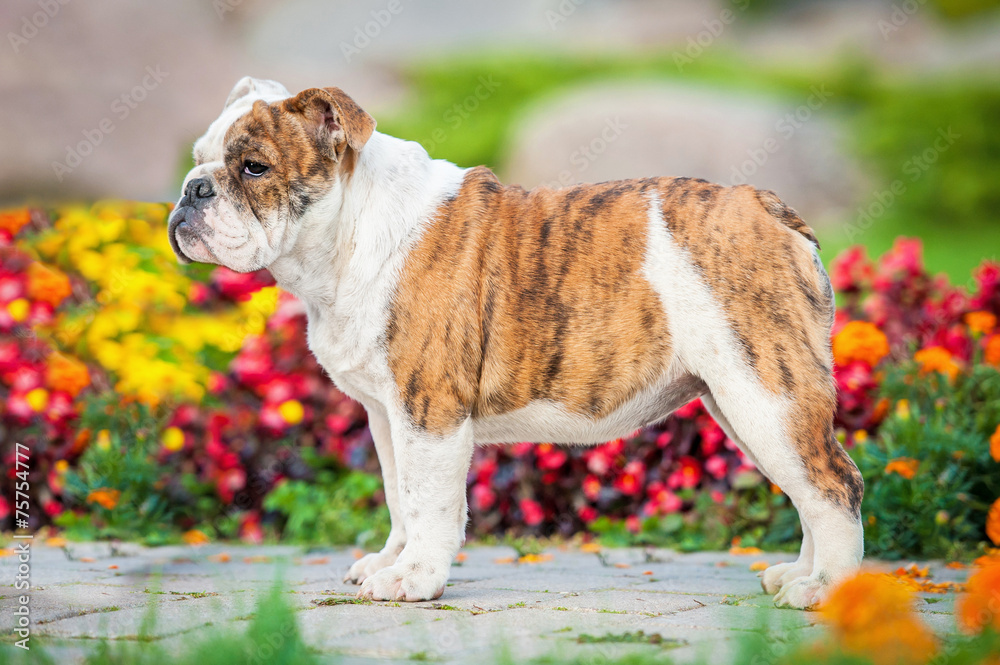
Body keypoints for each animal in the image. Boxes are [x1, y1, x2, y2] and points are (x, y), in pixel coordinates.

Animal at [168, 76, 864, 608]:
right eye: (198, 156)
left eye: (254, 167)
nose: (192, 189)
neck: (348, 233)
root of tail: (765, 206)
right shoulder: (388, 416)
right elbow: (400, 498)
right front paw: (390, 561)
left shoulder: (430, 412)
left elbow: (431, 504)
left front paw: (415, 579)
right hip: (742, 399)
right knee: (807, 488)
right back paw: (800, 575)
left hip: (765, 391)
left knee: (834, 484)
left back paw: (826, 590)